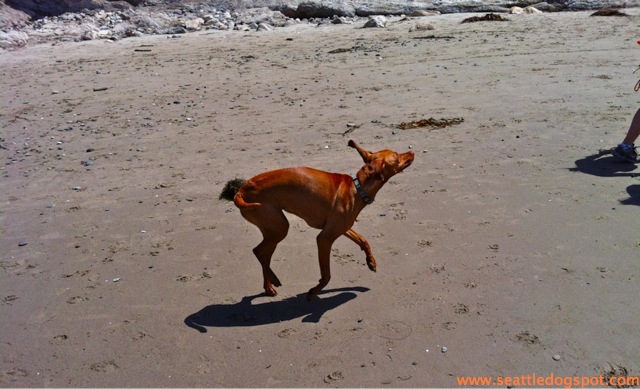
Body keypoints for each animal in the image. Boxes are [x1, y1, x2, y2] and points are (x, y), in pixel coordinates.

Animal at [221, 140, 416, 300]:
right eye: (397, 156)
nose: (412, 152)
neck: (358, 188)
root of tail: (241, 191)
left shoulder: (341, 227)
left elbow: (363, 240)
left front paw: (371, 262)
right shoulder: (324, 238)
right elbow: (327, 275)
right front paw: (314, 291)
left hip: (272, 230)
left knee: (263, 255)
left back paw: (269, 286)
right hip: (279, 227)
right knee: (258, 252)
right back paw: (274, 280)